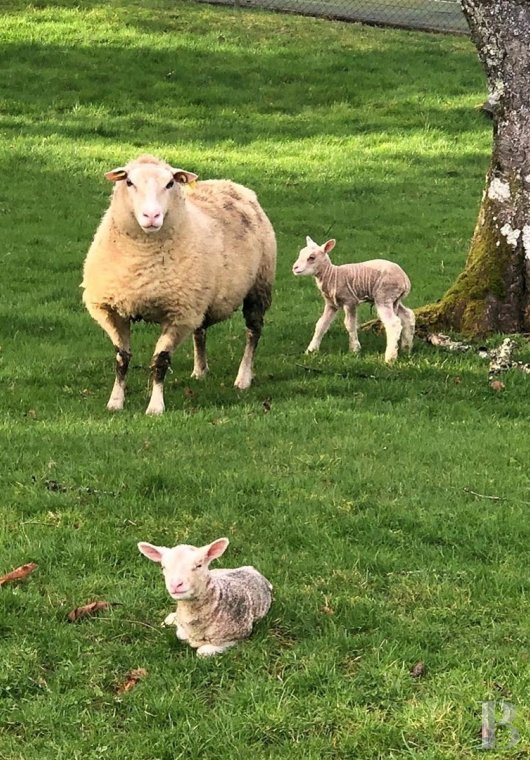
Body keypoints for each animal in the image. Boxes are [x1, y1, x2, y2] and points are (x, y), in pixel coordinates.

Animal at [82, 155, 276, 416]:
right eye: (129, 182)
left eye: (170, 184)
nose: (152, 216)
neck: (142, 260)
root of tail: (232, 185)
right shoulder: (111, 311)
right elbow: (122, 359)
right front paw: (115, 401)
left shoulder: (178, 315)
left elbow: (160, 362)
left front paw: (155, 406)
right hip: (200, 298)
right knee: (200, 332)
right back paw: (200, 370)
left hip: (258, 287)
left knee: (253, 332)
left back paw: (243, 377)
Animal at [137, 536, 272, 656]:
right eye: (163, 567)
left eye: (199, 565)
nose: (175, 584)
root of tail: (250, 568)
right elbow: (180, 634)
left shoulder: (241, 634)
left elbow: (201, 652)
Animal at [292, 236, 412, 364]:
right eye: (300, 254)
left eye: (312, 257)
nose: (295, 268)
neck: (332, 275)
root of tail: (405, 280)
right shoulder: (331, 304)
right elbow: (321, 325)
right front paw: (311, 350)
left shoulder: (350, 301)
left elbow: (350, 324)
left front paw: (354, 349)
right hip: (394, 298)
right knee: (407, 315)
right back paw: (407, 348)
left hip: (384, 295)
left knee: (393, 323)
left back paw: (390, 358)